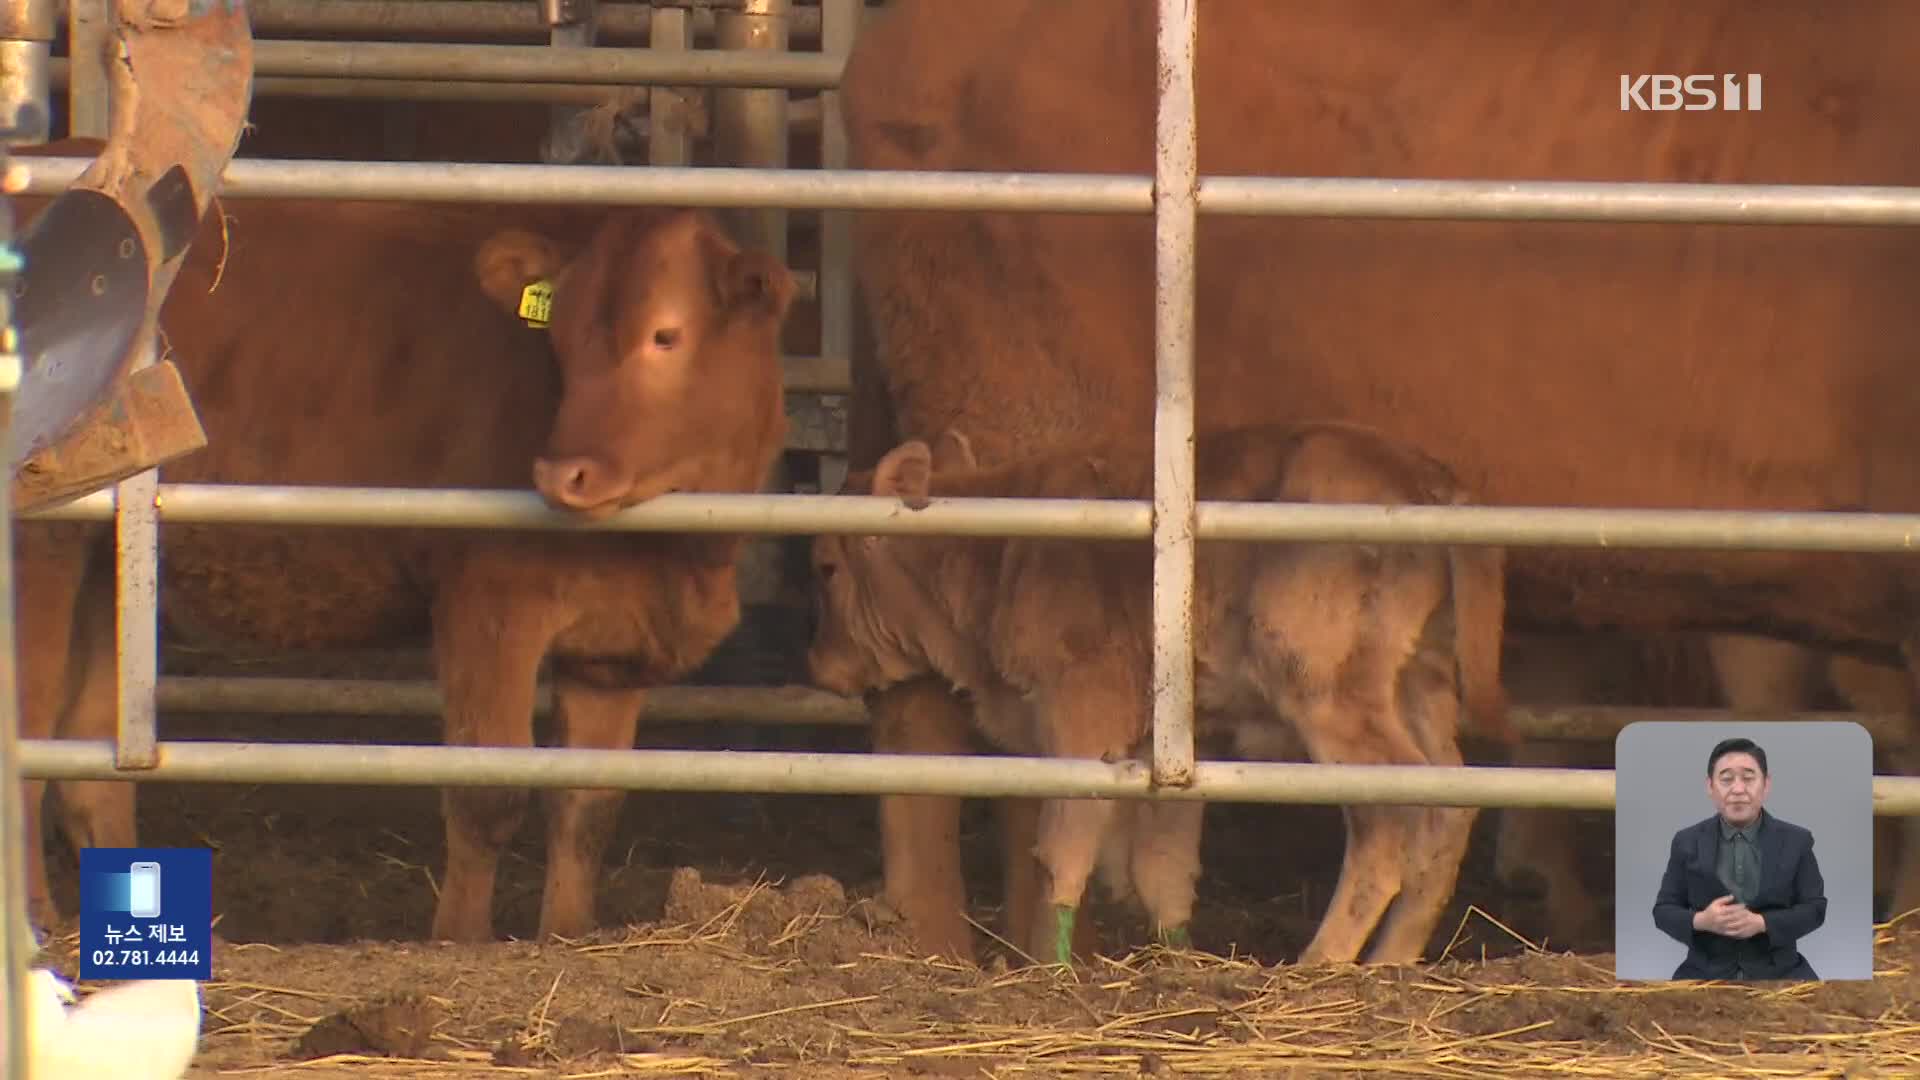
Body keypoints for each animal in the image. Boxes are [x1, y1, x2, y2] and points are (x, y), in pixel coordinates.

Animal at [15, 138, 794, 937]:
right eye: (563, 343)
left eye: (666, 335)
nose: (562, 473)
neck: (674, 553)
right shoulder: (489, 603)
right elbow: (487, 792)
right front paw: (460, 941)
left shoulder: (614, 648)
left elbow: (587, 807)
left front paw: (566, 934)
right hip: (38, 546)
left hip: (99, 567)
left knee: (87, 768)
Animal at [802, 422, 1505, 968]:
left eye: (826, 566)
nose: (820, 667)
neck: (994, 555)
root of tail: (1424, 476)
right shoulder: (1163, 744)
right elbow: (1159, 867)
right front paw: (1175, 961)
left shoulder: (1080, 718)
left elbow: (1061, 854)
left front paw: (1048, 969)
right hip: (1417, 686)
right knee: (1450, 804)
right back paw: (1392, 961)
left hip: (1327, 694)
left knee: (1390, 814)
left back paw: (1321, 961)